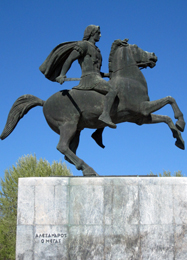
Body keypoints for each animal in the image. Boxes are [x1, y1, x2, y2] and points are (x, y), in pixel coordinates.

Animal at [0, 39, 184, 177]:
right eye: (137, 47)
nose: (154, 56)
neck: (128, 79)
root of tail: (44, 102)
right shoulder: (143, 108)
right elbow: (170, 99)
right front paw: (181, 123)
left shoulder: (141, 118)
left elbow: (167, 118)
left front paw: (180, 140)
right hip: (68, 124)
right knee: (62, 147)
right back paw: (89, 169)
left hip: (76, 130)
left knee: (68, 152)